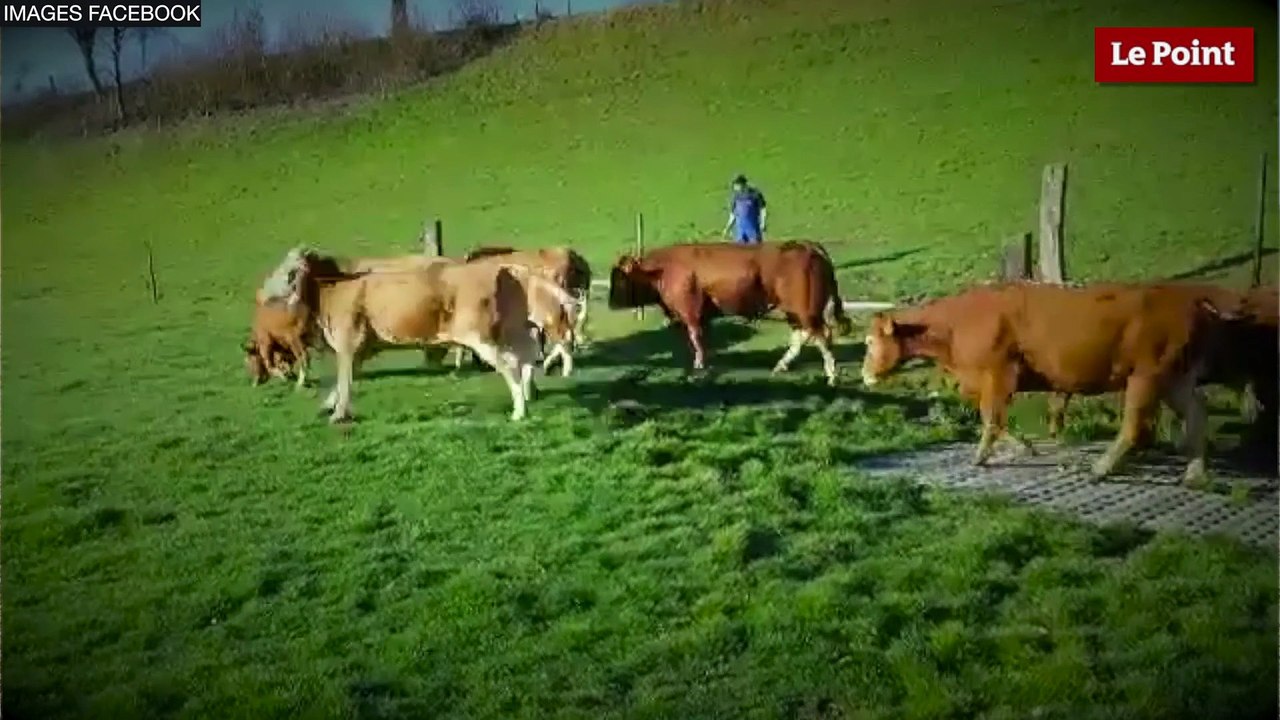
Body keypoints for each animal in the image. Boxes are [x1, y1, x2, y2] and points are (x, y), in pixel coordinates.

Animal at [259, 246, 542, 422]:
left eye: (290, 273)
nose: (261, 294)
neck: (334, 288)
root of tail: (499, 268)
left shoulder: (347, 343)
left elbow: (344, 380)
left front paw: (338, 415)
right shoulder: (359, 349)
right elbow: (345, 381)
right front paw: (329, 406)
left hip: (481, 336)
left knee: (510, 364)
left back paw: (519, 411)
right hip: (511, 329)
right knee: (527, 355)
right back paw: (529, 398)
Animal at [607, 241, 854, 384]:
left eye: (620, 279)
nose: (611, 303)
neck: (661, 271)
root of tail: (808, 247)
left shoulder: (690, 310)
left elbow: (695, 336)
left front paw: (699, 364)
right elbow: (702, 338)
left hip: (804, 310)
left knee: (822, 336)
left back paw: (832, 375)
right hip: (795, 312)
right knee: (802, 336)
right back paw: (781, 365)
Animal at [860, 281, 1241, 483]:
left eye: (870, 342)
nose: (864, 375)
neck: (957, 326)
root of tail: (1187, 298)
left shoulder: (998, 373)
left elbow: (991, 418)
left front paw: (982, 457)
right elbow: (994, 419)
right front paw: (1024, 446)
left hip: (1146, 375)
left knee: (1135, 427)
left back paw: (1101, 468)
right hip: (1174, 376)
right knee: (1197, 414)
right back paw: (1195, 472)